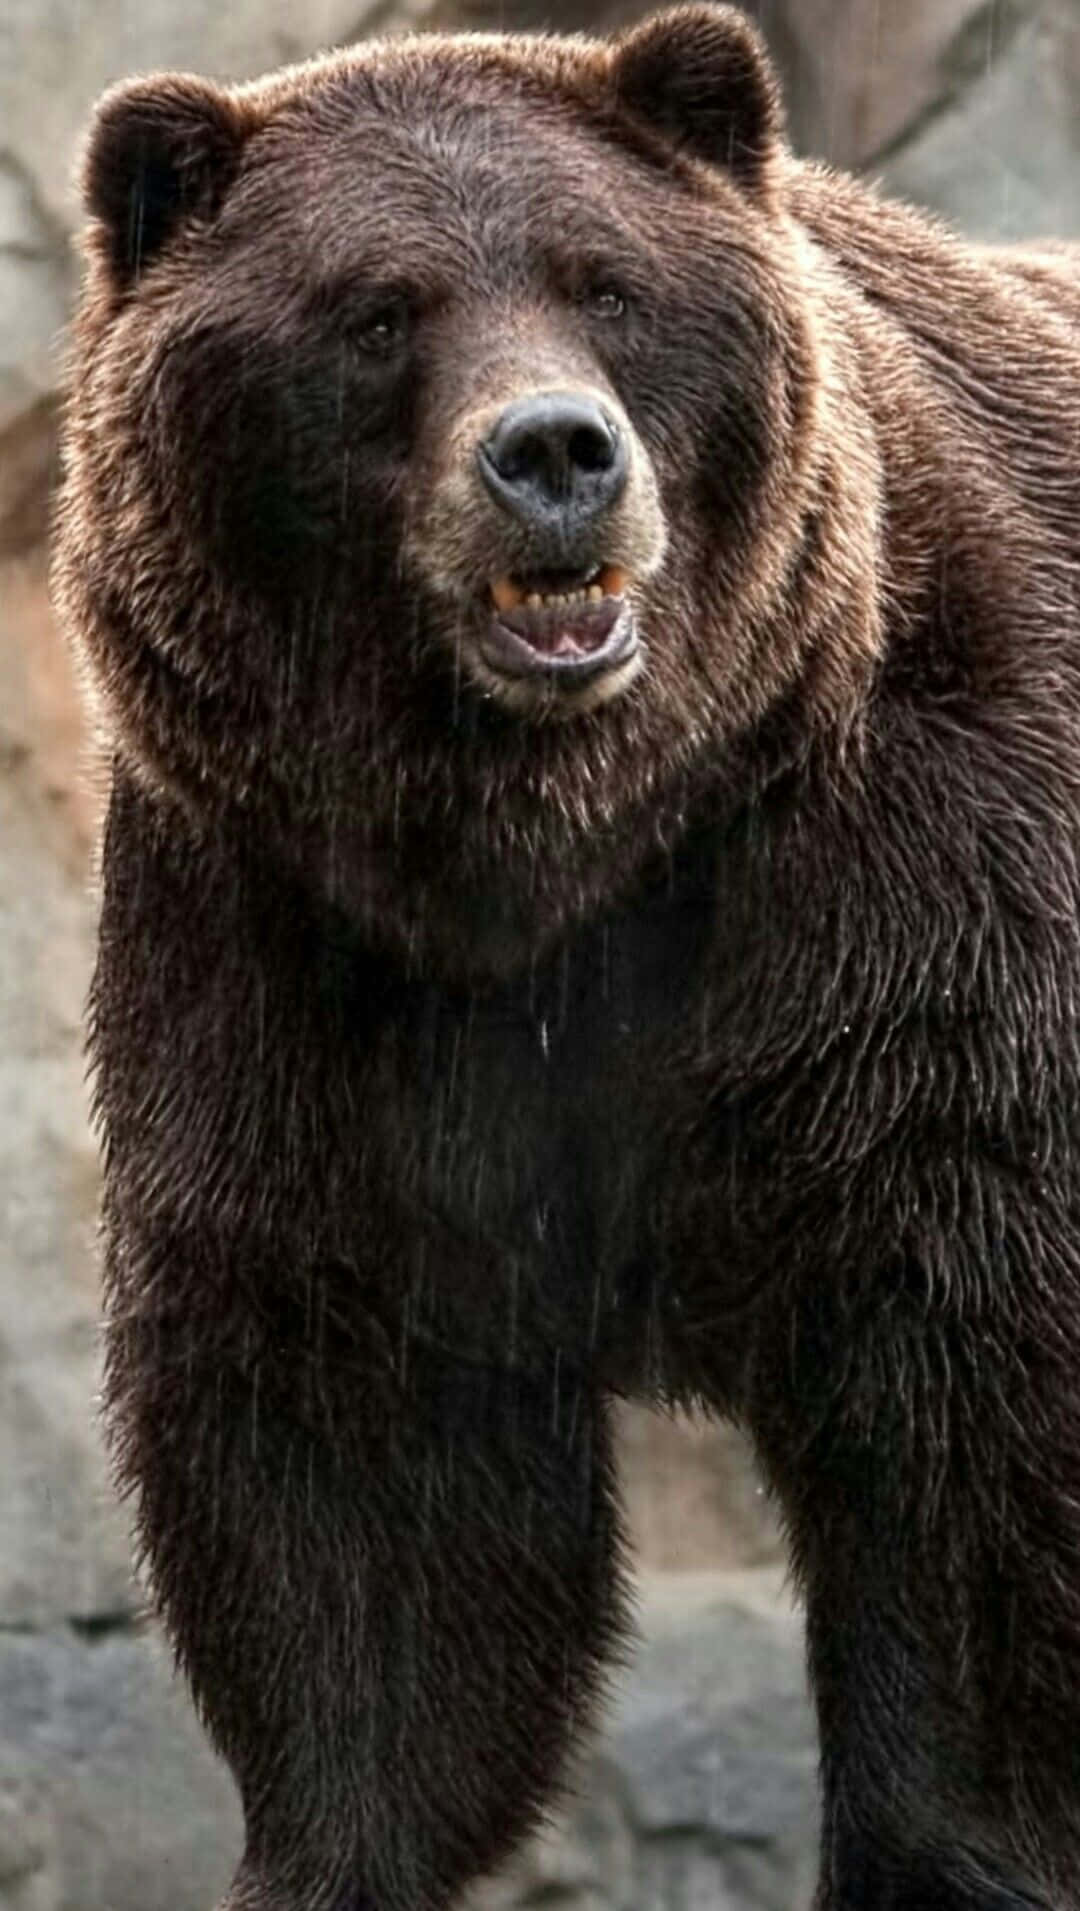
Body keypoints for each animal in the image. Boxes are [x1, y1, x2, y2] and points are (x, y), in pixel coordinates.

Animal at [52, 3, 1080, 1906]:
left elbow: (977, 1419)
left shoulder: (915, 912)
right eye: (377, 310)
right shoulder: (301, 966)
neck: (573, 850)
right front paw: (331, 1845)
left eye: (604, 281)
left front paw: (945, 1848)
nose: (553, 455)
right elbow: (364, 1487)